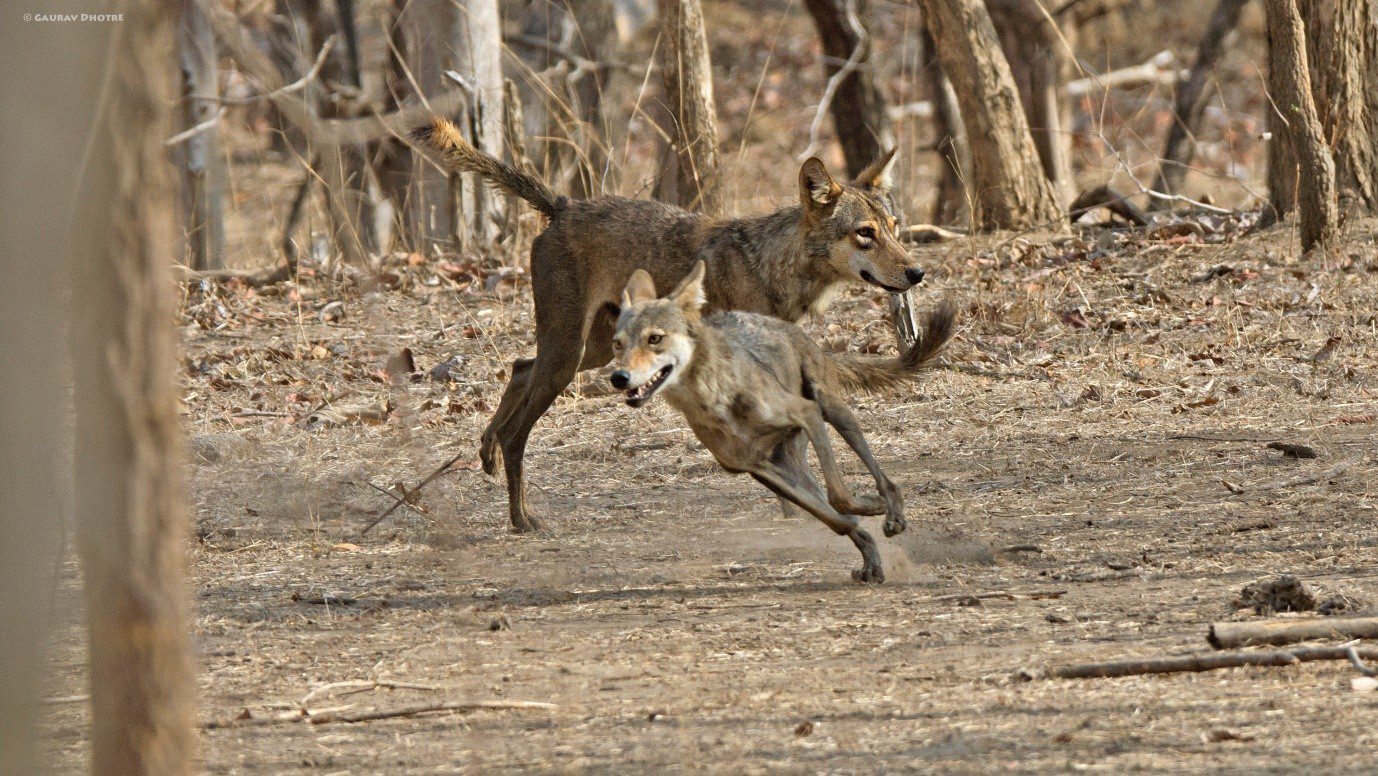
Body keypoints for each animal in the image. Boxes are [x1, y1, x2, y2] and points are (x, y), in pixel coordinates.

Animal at [413, 115, 920, 534]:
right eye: (865, 234)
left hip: (593, 351)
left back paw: (487, 453)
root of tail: (564, 203)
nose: (917, 273)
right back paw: (522, 519)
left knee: (519, 368)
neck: (771, 267)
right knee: (518, 427)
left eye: (894, 227)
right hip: (571, 357)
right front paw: (803, 513)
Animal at [609, 260, 953, 584]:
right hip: (793, 465)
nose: (618, 377)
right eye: (618, 344)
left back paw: (893, 511)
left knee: (882, 478)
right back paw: (871, 559)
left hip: (834, 413)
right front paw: (862, 529)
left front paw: (874, 507)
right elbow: (834, 518)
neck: (713, 399)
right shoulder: (756, 467)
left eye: (655, 339)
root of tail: (795, 330)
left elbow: (839, 496)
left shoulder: (807, 413)